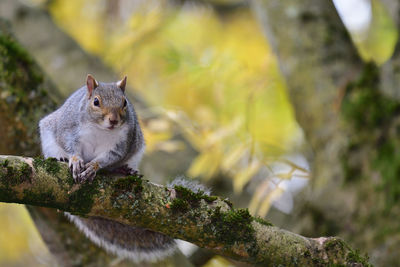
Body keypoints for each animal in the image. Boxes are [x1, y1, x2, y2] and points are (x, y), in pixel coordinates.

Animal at [39, 74, 177, 262]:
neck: (101, 129)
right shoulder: (68, 129)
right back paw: (60, 158)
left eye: (124, 102)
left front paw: (93, 167)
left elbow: (107, 159)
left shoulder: (120, 145)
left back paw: (124, 170)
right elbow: (70, 145)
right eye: (96, 101)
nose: (113, 120)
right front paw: (75, 160)